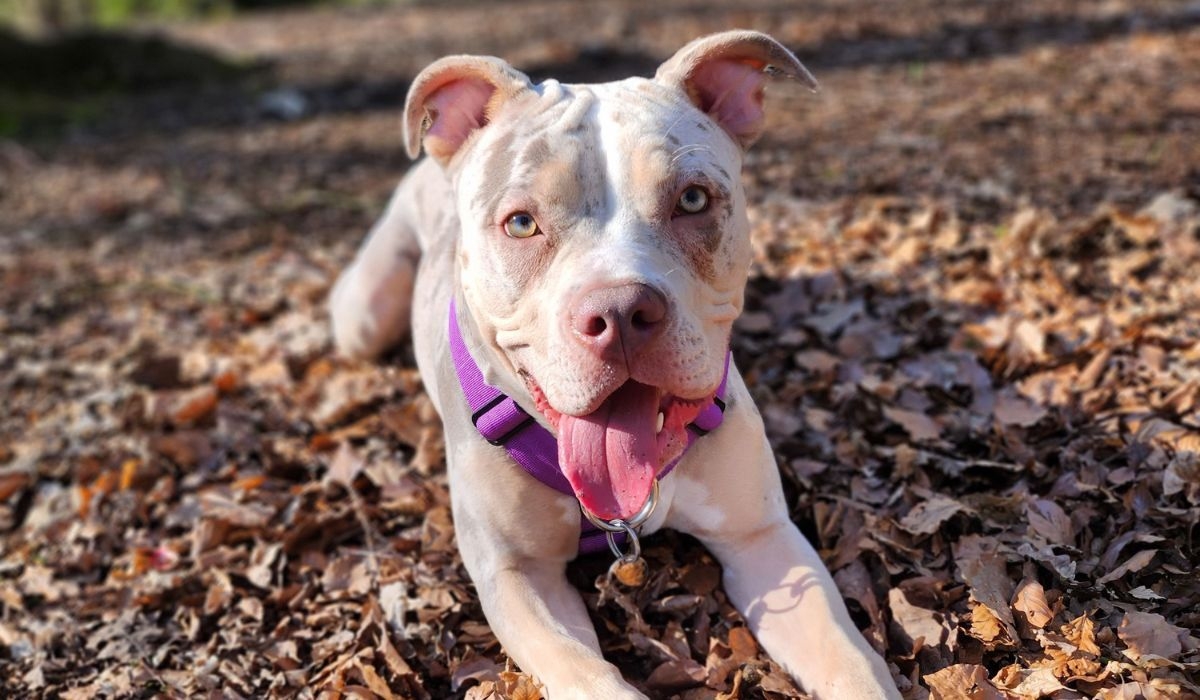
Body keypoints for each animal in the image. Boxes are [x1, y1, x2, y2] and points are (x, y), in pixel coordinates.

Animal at [328, 30, 902, 696]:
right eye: (520, 223)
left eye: (693, 199)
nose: (621, 311)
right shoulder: (518, 578)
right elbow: (588, 675)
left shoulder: (763, 540)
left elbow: (853, 663)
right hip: (364, 316)